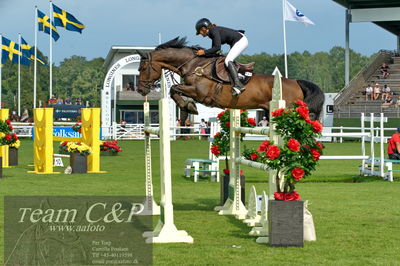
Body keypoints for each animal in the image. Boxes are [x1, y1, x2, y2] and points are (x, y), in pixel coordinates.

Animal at [136, 36, 324, 124]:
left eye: (143, 68)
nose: (140, 90)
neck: (194, 65)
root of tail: (296, 82)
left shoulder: (199, 93)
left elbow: (174, 89)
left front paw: (189, 107)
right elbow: (174, 91)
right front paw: (185, 111)